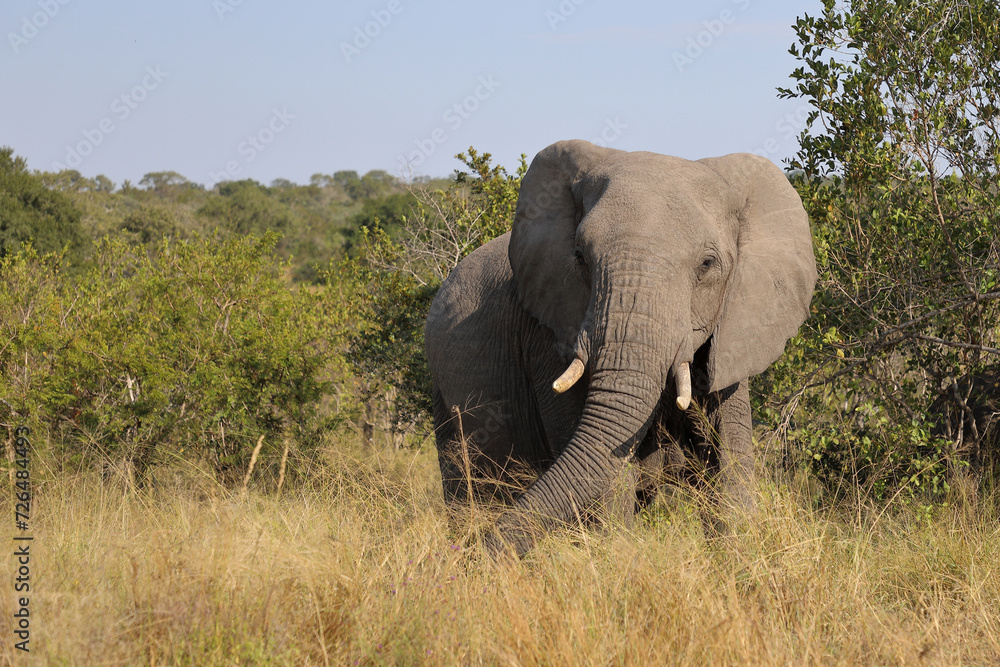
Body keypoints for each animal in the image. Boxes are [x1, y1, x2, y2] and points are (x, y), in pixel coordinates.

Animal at [426, 138, 816, 556]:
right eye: (580, 257)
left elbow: (729, 453)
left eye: (708, 264)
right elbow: (603, 470)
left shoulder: (732, 328)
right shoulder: (548, 332)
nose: (470, 555)